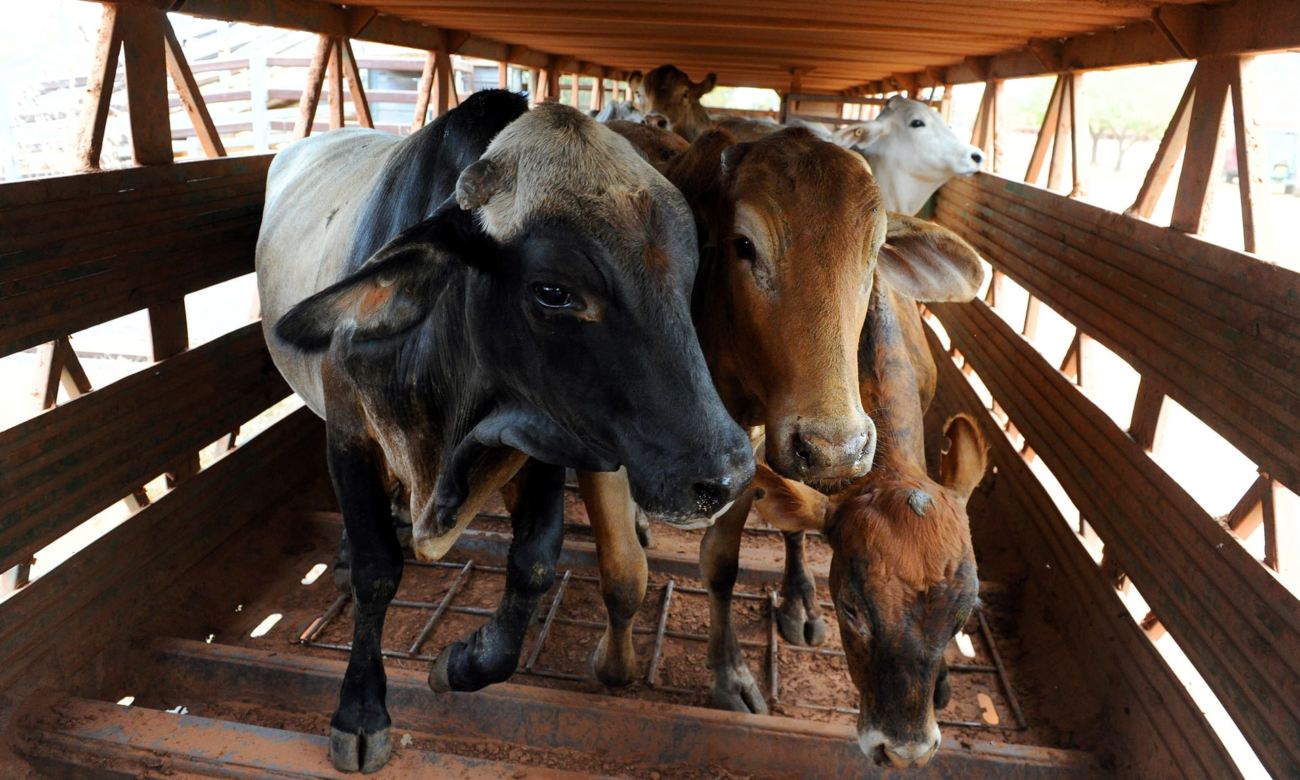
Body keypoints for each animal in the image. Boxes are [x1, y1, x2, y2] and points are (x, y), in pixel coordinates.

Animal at [256, 91, 754, 774]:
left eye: (688, 274)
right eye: (552, 291)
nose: (726, 474)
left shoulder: (540, 441)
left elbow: (536, 563)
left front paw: (464, 662)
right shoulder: (350, 436)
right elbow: (377, 573)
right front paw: (360, 712)